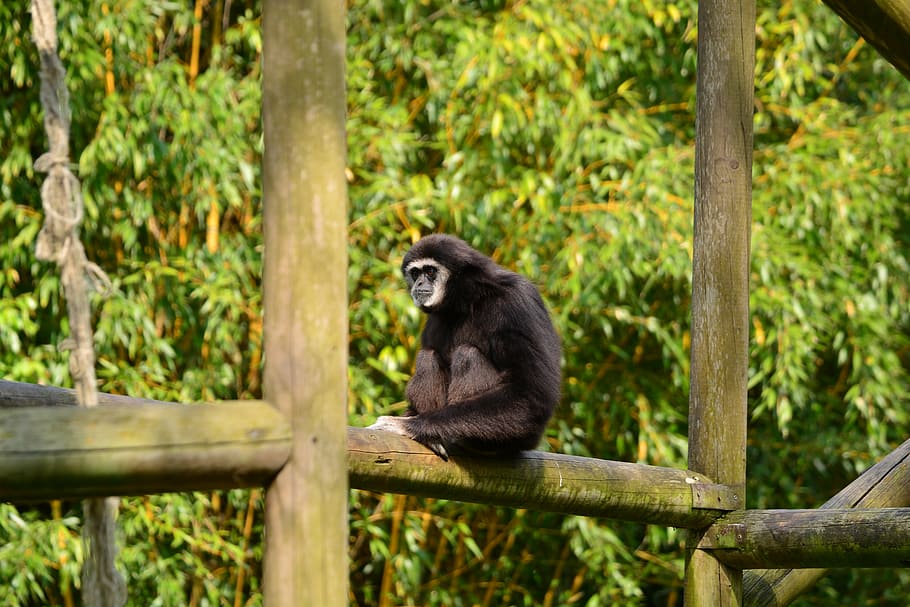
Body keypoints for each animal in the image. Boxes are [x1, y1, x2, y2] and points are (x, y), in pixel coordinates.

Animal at [368, 234, 561, 460]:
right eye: (415, 273)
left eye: (430, 271)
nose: (419, 282)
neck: (468, 298)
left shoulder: (518, 303)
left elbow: (531, 394)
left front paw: (408, 425)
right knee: (427, 355)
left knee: (467, 353)